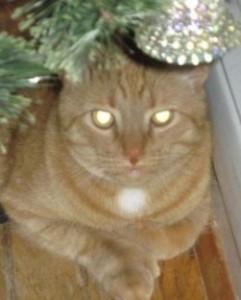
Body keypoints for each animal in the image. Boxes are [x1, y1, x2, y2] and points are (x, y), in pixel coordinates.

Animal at [0, 61, 211, 300]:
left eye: (162, 117)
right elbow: (92, 234)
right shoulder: (24, 209)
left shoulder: (203, 199)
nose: (133, 155)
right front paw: (129, 265)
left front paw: (134, 231)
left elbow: (178, 236)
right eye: (102, 118)